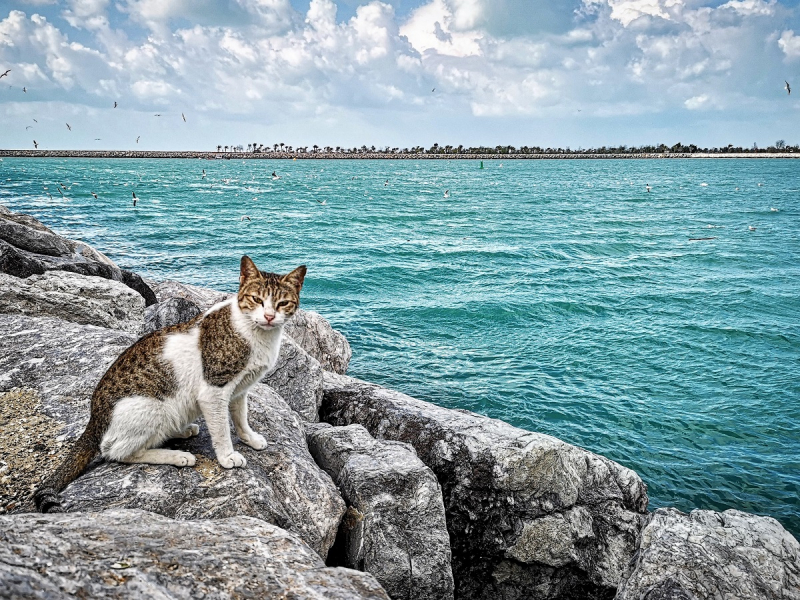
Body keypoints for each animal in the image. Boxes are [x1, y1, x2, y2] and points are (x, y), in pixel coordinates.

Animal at [33, 255, 306, 512]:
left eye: (282, 303)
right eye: (257, 299)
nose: (269, 317)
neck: (256, 334)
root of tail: (95, 417)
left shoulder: (240, 389)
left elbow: (240, 418)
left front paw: (249, 438)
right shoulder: (214, 391)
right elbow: (221, 430)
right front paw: (227, 456)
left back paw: (181, 431)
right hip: (151, 407)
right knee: (117, 452)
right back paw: (176, 456)